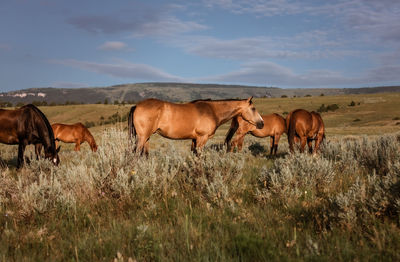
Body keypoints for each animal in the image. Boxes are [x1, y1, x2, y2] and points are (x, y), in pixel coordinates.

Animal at [130, 97, 264, 155]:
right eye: (253, 109)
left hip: (146, 137)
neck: (212, 111)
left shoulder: (194, 140)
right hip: (142, 137)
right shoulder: (201, 138)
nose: (262, 123)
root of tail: (137, 105)